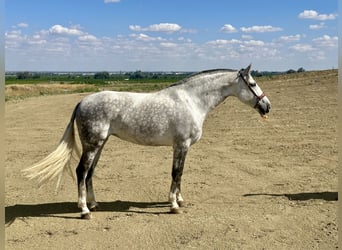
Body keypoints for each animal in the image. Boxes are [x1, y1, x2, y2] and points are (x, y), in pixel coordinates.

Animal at [22, 64, 272, 219]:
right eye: (253, 84)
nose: (267, 106)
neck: (192, 100)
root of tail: (82, 102)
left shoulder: (183, 147)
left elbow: (180, 174)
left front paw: (180, 200)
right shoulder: (180, 145)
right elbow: (176, 173)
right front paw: (173, 205)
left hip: (100, 145)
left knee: (90, 172)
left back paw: (93, 204)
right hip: (92, 145)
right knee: (81, 171)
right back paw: (84, 210)